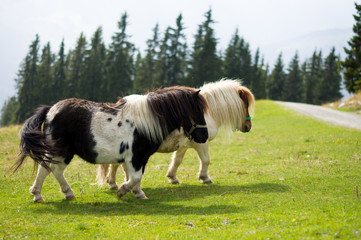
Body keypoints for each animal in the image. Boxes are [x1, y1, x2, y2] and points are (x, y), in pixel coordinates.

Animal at [12, 86, 208, 202]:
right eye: (197, 110)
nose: (204, 136)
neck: (144, 122)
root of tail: (50, 110)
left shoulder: (139, 158)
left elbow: (136, 176)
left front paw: (138, 193)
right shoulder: (135, 157)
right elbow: (134, 177)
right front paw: (122, 190)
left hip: (57, 152)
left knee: (46, 168)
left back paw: (39, 194)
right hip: (62, 152)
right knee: (54, 169)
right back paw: (65, 192)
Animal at [97, 79, 255, 196]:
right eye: (246, 104)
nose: (249, 126)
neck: (207, 112)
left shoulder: (184, 144)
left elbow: (177, 160)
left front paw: (172, 177)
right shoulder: (201, 144)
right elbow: (206, 160)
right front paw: (205, 178)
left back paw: (114, 183)